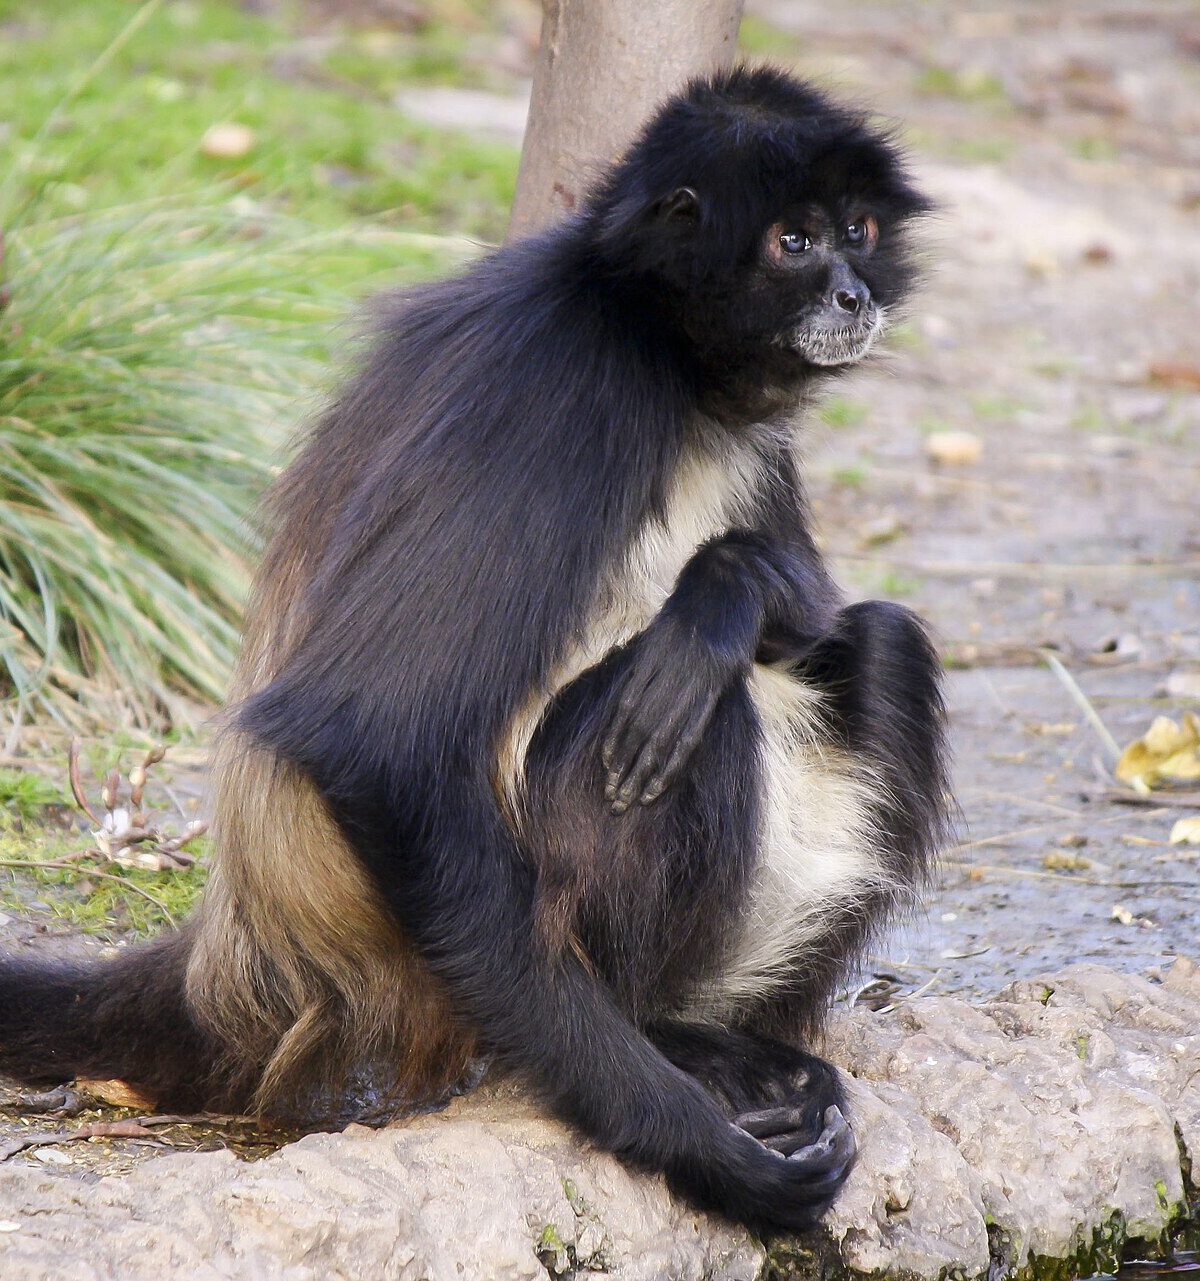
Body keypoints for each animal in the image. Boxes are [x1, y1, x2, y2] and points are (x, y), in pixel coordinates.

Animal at [0, 67, 946, 1233]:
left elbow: (809, 597)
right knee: (688, 701)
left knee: (876, 642)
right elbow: (372, 735)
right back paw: (666, 1040)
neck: (659, 352)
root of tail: (243, 955)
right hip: (451, 975)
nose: (856, 295)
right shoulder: (558, 376)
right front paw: (695, 1148)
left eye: (859, 233)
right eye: (795, 241)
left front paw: (737, 586)